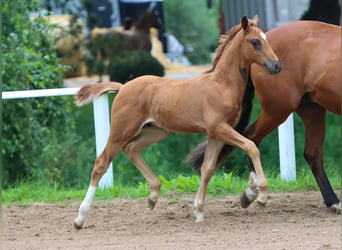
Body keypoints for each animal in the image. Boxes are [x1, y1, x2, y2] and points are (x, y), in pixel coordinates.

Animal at [73, 16, 282, 230]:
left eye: (267, 39)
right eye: (255, 42)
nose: (276, 66)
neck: (221, 85)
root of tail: (123, 87)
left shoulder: (216, 134)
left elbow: (207, 169)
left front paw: (198, 211)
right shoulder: (219, 128)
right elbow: (251, 146)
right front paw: (262, 195)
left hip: (156, 131)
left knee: (131, 148)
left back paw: (153, 196)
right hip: (121, 129)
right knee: (102, 162)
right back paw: (80, 218)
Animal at [187, 20, 342, 214]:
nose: (275, 66)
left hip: (311, 108)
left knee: (312, 153)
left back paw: (332, 201)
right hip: (278, 109)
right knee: (252, 137)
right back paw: (253, 192)